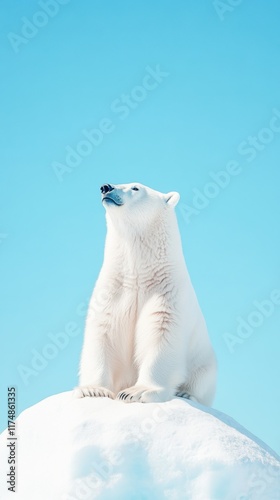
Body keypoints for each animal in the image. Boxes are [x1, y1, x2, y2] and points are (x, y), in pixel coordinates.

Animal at [75, 182, 218, 404]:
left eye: (135, 188)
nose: (106, 187)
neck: (140, 275)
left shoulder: (166, 292)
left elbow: (160, 334)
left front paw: (136, 392)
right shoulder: (114, 289)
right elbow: (104, 330)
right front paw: (93, 390)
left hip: (205, 362)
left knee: (202, 379)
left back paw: (187, 393)